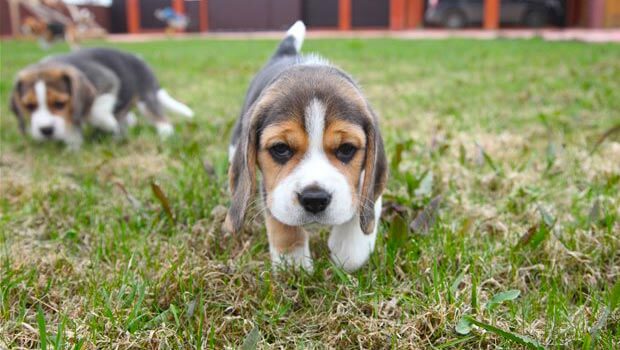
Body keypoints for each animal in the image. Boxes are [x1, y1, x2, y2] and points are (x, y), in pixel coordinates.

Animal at [9, 46, 194, 148]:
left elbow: (98, 109)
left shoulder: (108, 81)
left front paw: (107, 123)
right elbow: (73, 130)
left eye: (60, 103)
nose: (46, 130)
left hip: (145, 99)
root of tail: (141, 60)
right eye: (29, 106)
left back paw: (164, 134)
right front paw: (73, 148)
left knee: (161, 118)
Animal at [225, 20, 386, 274]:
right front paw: (293, 263)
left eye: (346, 149)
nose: (315, 199)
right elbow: (282, 222)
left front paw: (348, 248)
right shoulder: (272, 187)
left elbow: (365, 197)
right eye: (280, 148)